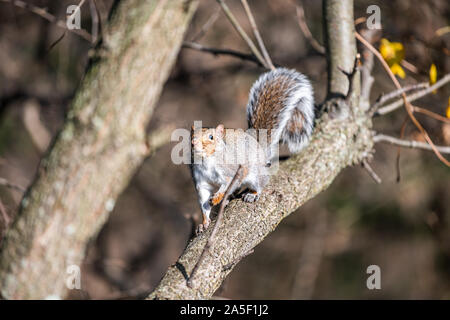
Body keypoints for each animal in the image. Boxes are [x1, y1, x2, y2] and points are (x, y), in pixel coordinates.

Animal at [189, 68, 312, 232]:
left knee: (260, 183)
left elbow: (227, 184)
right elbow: (203, 203)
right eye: (191, 135)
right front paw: (204, 223)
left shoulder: (230, 171)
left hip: (256, 173)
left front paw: (218, 197)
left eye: (211, 137)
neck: (206, 160)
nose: (194, 143)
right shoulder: (200, 181)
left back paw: (252, 194)